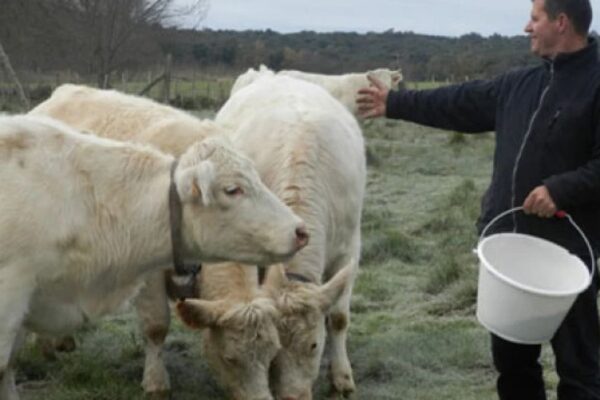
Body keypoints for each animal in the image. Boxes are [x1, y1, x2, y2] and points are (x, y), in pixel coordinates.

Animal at [216, 76, 366, 400]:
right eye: (274, 353)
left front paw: (342, 377)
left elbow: (338, 317)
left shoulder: (349, 248)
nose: (293, 396)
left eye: (313, 345)